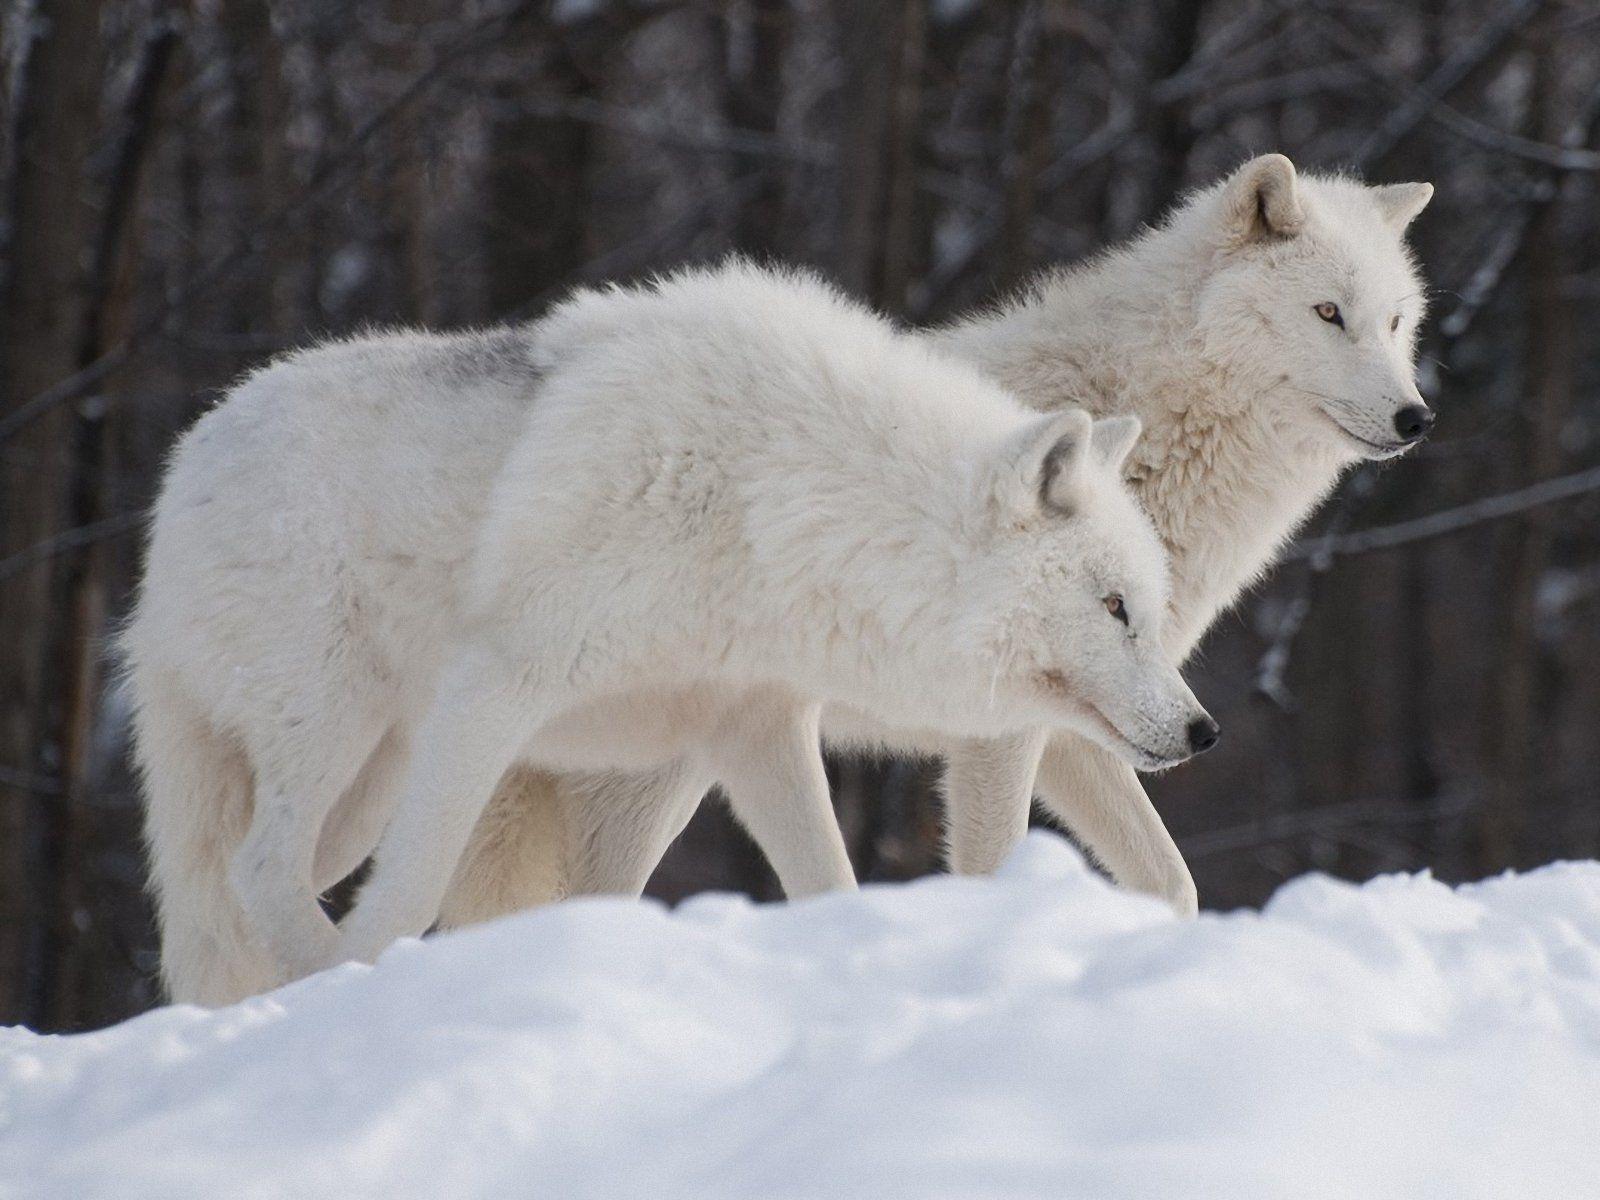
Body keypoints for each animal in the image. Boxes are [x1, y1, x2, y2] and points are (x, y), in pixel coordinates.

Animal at [124, 262, 1209, 1004]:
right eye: (1114, 608)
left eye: (1148, 610)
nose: (1204, 731)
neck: (771, 499)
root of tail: (185, 463)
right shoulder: (496, 689)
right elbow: (412, 891)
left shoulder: (754, 731)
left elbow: (828, 882)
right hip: (337, 732)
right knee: (261, 873)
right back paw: (315, 984)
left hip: (365, 781)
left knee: (244, 887)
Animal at [444, 150, 1433, 921]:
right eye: (1328, 314)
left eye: (1395, 322)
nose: (1415, 417)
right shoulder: (1003, 735)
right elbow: (995, 867)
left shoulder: (1090, 731)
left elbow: (1174, 884)